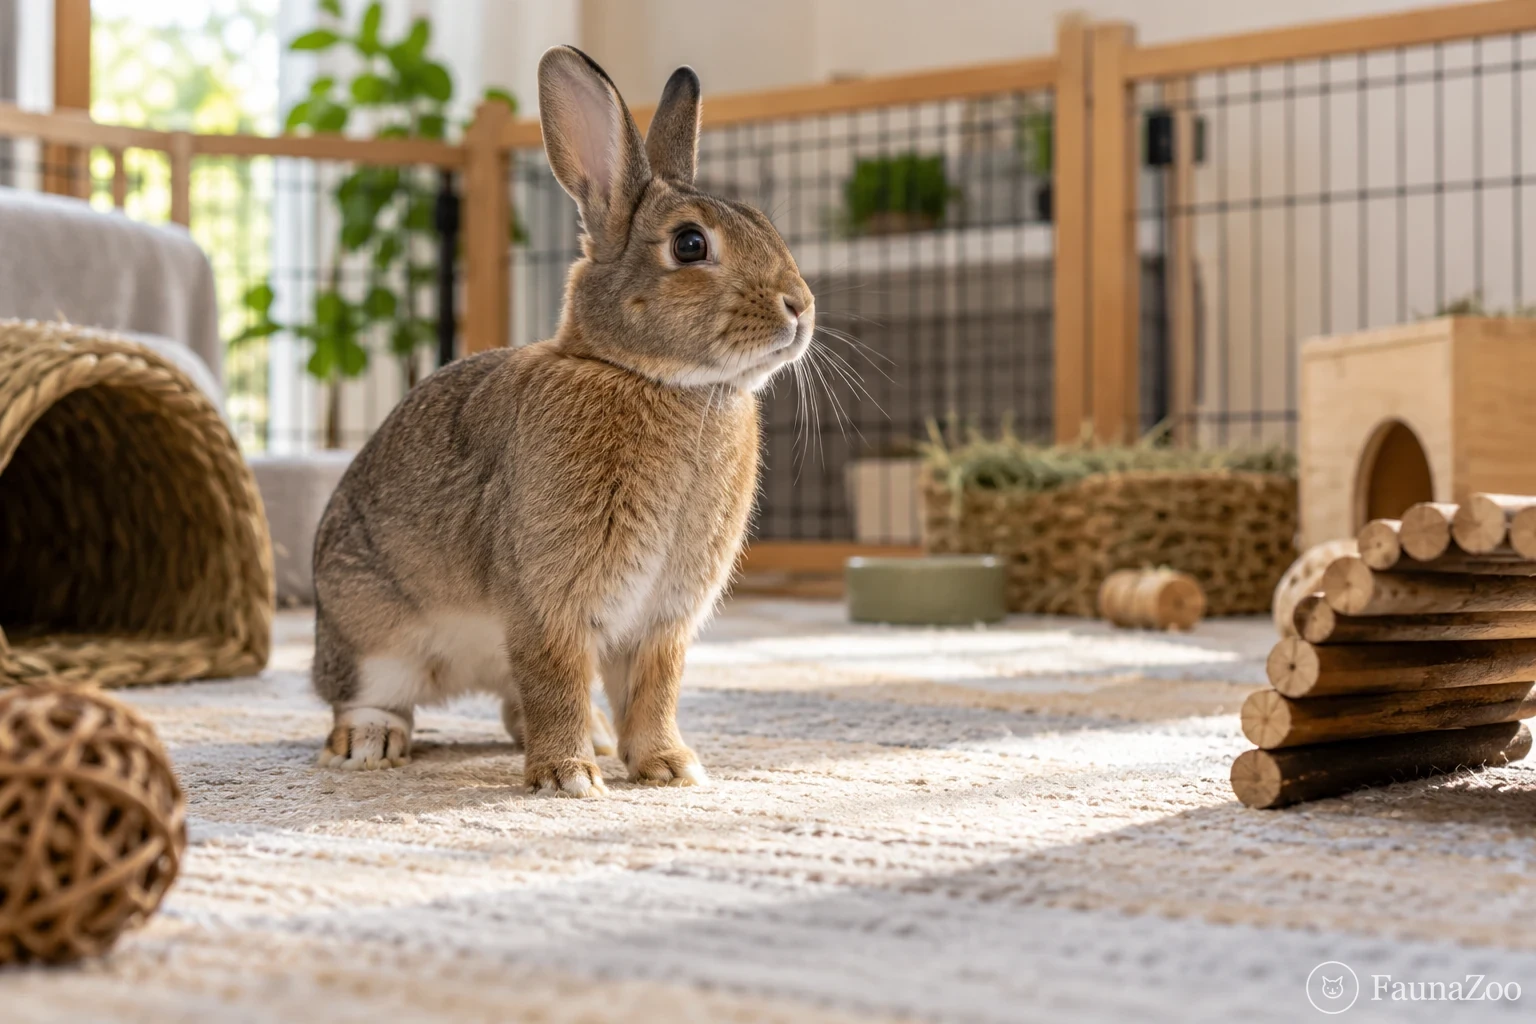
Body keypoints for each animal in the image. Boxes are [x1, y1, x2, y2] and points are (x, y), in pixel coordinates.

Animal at [310, 45, 815, 797]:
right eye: (690, 245)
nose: (800, 306)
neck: (649, 377)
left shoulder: (661, 620)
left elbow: (653, 690)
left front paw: (669, 766)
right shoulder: (552, 600)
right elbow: (557, 679)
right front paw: (567, 777)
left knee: (512, 699)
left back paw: (598, 738)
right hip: (369, 624)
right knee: (365, 693)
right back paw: (371, 743)